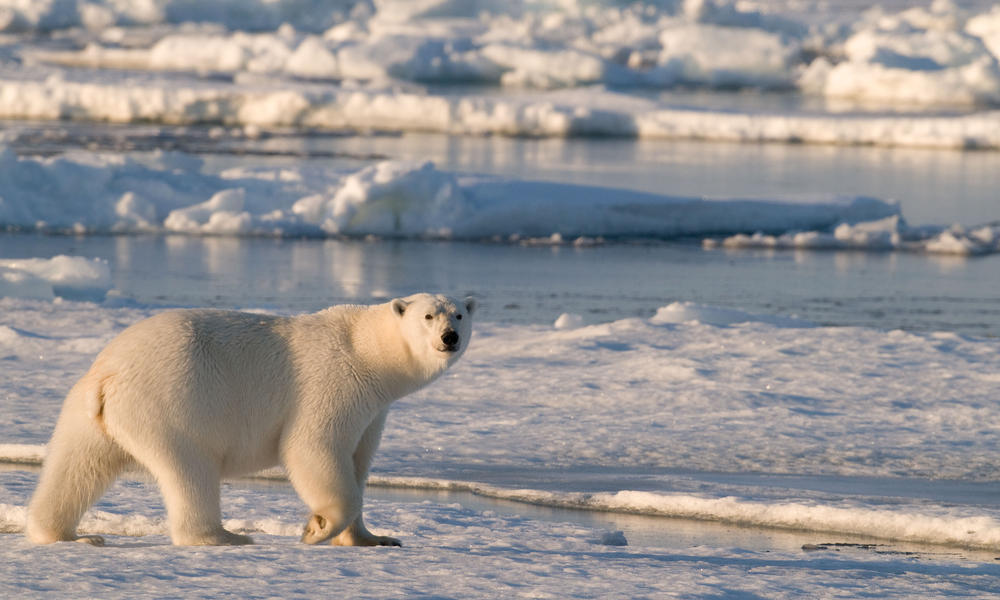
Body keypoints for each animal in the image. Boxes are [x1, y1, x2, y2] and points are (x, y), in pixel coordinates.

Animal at [26, 293, 475, 547]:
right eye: (428, 317)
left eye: (459, 315)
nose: (449, 338)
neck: (367, 352)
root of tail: (109, 376)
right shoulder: (335, 382)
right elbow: (313, 447)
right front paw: (316, 529)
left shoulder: (374, 410)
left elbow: (358, 463)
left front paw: (375, 539)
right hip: (174, 401)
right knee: (190, 469)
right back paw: (224, 536)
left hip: (88, 412)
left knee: (76, 466)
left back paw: (68, 533)